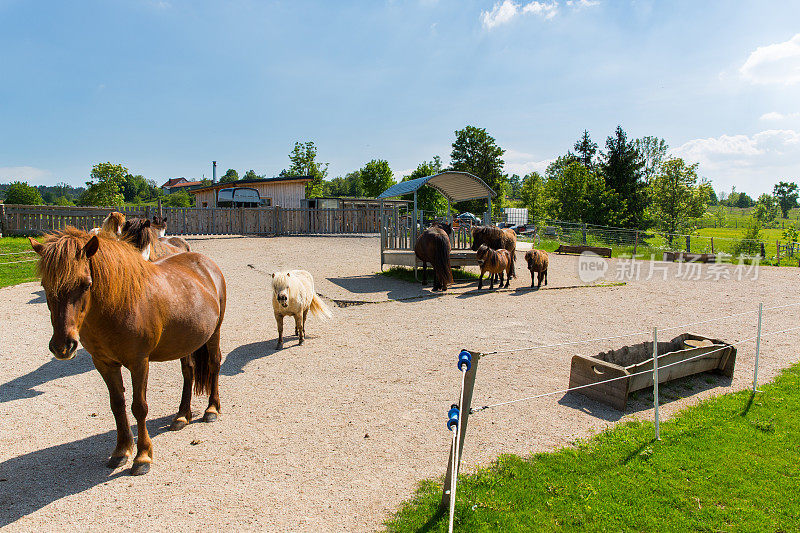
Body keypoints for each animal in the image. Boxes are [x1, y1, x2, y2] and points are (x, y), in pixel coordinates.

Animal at [30, 225, 227, 474]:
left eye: (86, 284)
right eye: (45, 286)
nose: (62, 346)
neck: (118, 305)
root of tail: (204, 262)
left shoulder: (138, 363)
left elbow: (139, 407)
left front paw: (142, 456)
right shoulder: (104, 364)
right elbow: (117, 406)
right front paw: (121, 451)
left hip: (214, 333)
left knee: (214, 364)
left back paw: (212, 409)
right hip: (186, 341)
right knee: (188, 371)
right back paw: (182, 415)